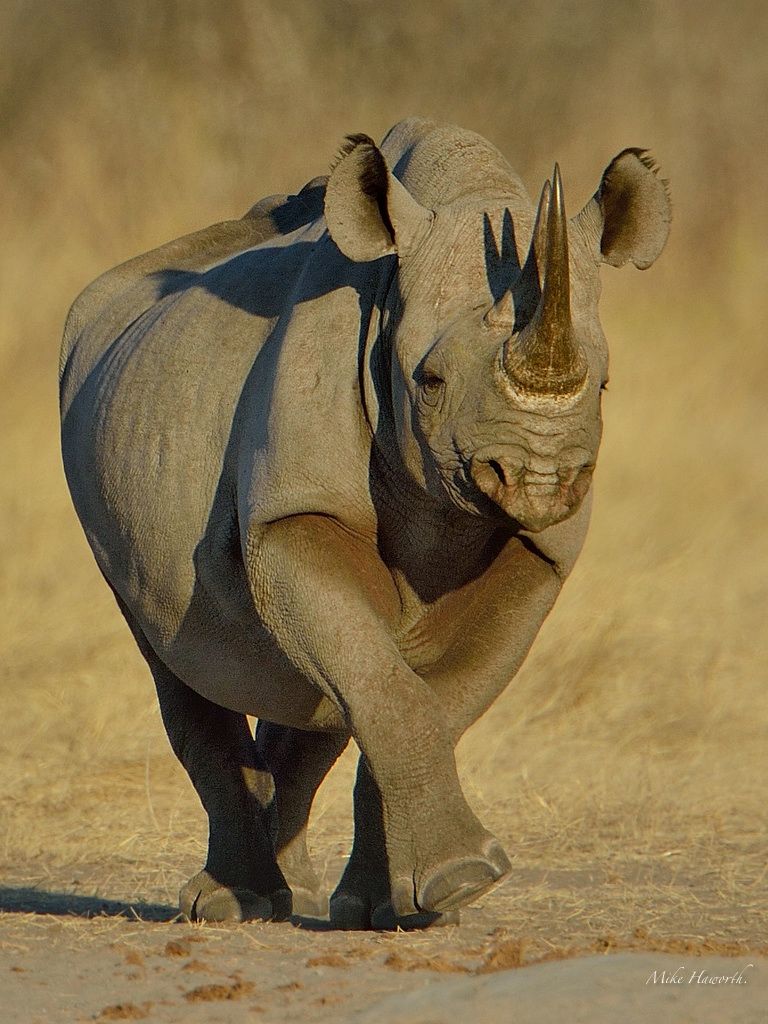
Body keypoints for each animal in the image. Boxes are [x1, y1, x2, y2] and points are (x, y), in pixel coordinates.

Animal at [59, 118, 670, 929]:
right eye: (430, 382)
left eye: (602, 385)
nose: (537, 477)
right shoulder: (294, 510)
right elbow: (381, 678)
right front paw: (465, 878)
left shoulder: (536, 553)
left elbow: (428, 697)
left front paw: (408, 904)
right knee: (173, 653)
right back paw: (232, 907)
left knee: (312, 695)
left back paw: (299, 897)